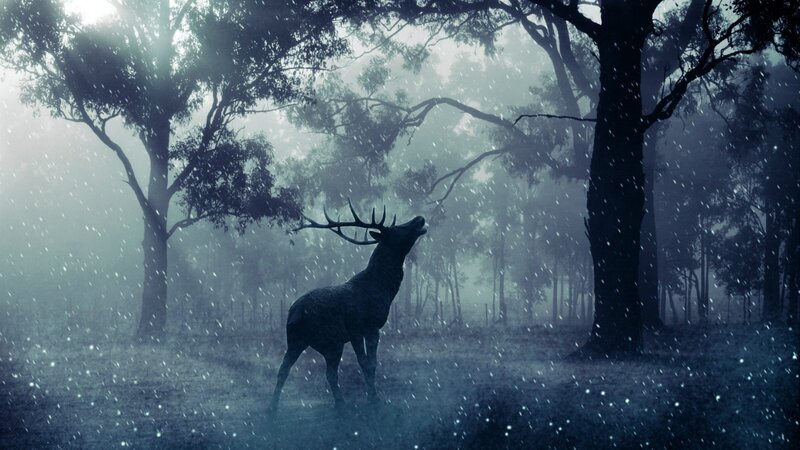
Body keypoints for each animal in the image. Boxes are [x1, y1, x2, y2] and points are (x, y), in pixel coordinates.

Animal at [267, 201, 427, 414]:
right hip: (327, 338)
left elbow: (371, 363)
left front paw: (372, 397)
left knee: (298, 370)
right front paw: (374, 400)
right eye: (396, 229)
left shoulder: (363, 330)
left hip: (306, 340)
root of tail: (296, 312)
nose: (420, 218)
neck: (383, 288)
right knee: (320, 371)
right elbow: (368, 364)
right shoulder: (364, 326)